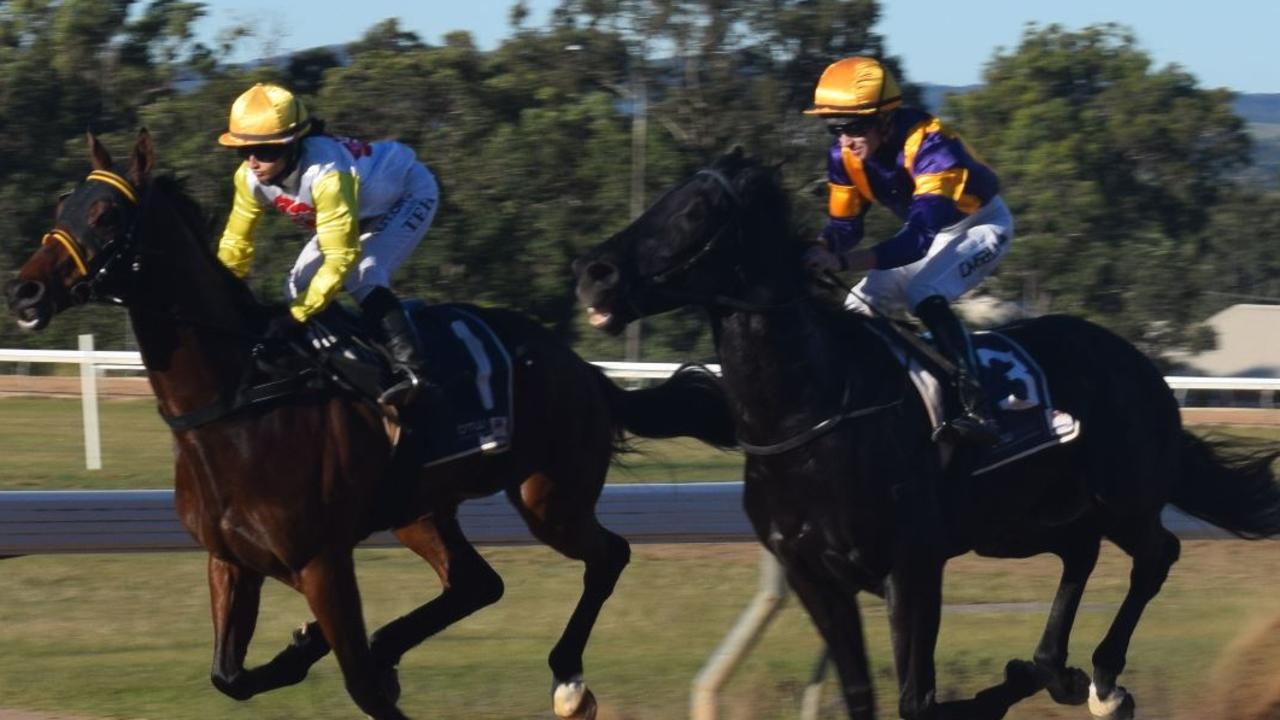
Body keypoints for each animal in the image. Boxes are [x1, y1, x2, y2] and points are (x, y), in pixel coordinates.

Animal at [2, 130, 732, 717]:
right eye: (62, 208)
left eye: (106, 214)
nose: (24, 291)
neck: (240, 400)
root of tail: (581, 367)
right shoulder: (229, 560)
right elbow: (229, 676)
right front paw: (303, 647)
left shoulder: (322, 561)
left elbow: (361, 686)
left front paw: (327, 649)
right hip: (421, 508)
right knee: (478, 582)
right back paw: (388, 643)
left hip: (549, 496)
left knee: (608, 555)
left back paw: (568, 682)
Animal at [573, 147, 1280, 717]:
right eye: (663, 197)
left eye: (695, 211)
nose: (593, 272)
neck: (810, 415)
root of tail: (1141, 366)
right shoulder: (814, 577)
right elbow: (862, 693)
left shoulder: (912, 567)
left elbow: (918, 698)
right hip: (1023, 522)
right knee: (1078, 556)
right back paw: (1051, 670)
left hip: (1122, 499)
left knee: (1157, 555)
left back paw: (1103, 680)